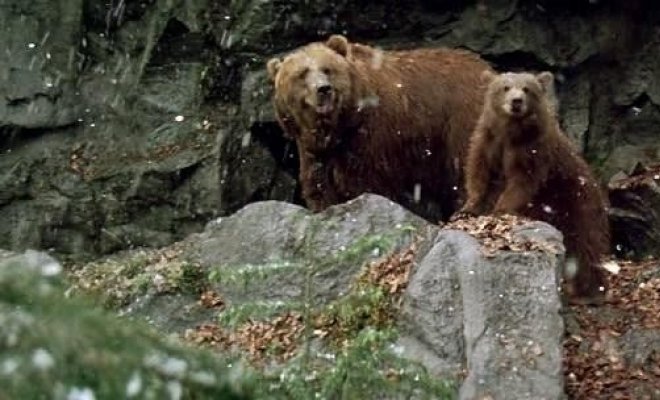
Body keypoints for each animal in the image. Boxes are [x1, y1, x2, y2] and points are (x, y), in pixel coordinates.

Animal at [266, 34, 493, 221]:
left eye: (327, 69)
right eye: (301, 74)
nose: (323, 89)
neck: (339, 126)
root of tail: (488, 69)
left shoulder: (371, 135)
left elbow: (364, 180)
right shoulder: (313, 150)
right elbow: (319, 185)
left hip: (459, 117)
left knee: (465, 161)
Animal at [456, 70, 611, 305]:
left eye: (527, 89)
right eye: (505, 87)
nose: (516, 101)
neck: (510, 132)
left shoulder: (531, 152)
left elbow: (521, 183)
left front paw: (500, 209)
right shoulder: (488, 142)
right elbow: (478, 172)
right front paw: (467, 209)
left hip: (576, 201)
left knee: (585, 245)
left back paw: (589, 292)